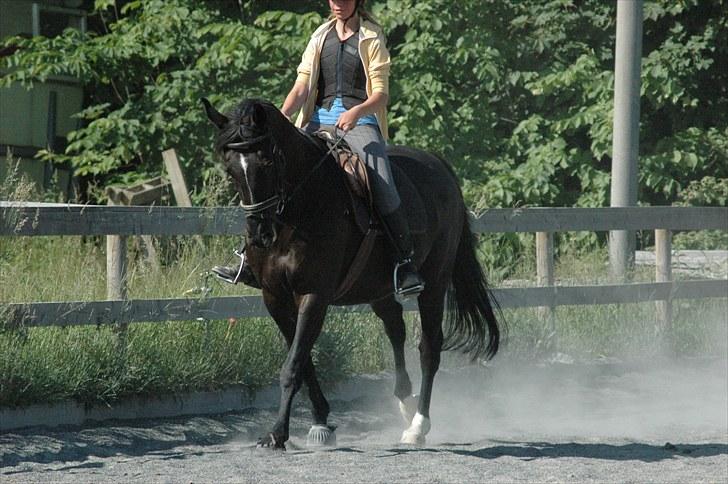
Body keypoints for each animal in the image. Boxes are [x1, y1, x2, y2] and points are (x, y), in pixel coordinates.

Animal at [205, 98, 500, 450]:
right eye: (230, 168)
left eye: (266, 160)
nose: (259, 235)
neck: (299, 210)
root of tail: (438, 165)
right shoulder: (274, 296)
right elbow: (303, 360)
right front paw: (320, 421)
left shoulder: (314, 294)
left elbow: (293, 364)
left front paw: (277, 433)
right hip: (378, 288)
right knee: (395, 328)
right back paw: (405, 401)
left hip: (435, 282)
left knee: (429, 348)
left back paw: (417, 426)